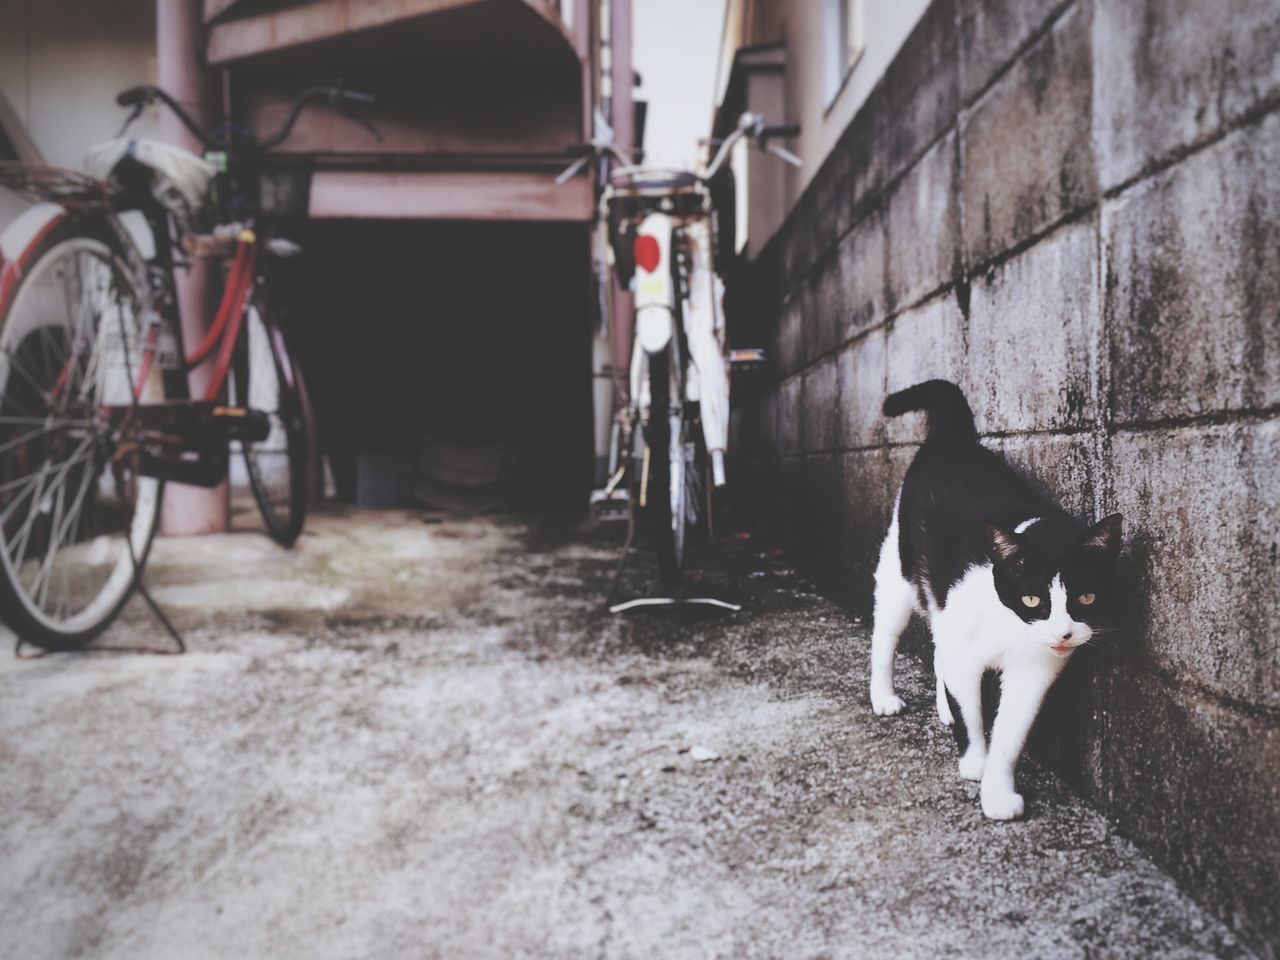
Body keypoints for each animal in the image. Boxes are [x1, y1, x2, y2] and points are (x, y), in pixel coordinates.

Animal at [870, 378, 1121, 824]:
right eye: (1032, 598)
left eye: (1087, 597)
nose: (1063, 634)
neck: (1011, 625)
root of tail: (950, 438)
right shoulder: (966, 648)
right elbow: (971, 716)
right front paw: (975, 762)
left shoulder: (1033, 672)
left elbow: (1009, 736)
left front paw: (998, 791)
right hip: (899, 570)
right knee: (886, 635)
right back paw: (883, 696)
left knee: (938, 648)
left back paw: (942, 706)